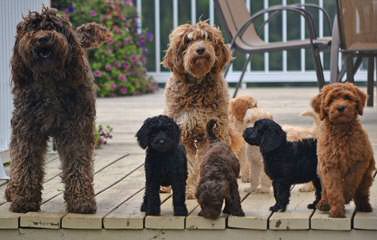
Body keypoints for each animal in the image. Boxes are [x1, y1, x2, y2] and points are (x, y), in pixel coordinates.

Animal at [4, 6, 110, 213]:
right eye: (32, 28)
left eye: (54, 27)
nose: (42, 38)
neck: (49, 79)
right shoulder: (26, 131)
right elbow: (25, 163)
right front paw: (24, 200)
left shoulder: (76, 129)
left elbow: (77, 162)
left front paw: (81, 200)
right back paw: (12, 190)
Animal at [162, 21, 231, 199]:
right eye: (188, 40)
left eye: (207, 38)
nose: (200, 49)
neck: (198, 84)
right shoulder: (183, 131)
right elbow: (189, 163)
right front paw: (188, 190)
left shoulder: (214, 130)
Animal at [312, 82, 374, 218]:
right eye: (331, 100)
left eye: (347, 97)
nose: (341, 107)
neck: (341, 128)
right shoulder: (329, 164)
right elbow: (333, 187)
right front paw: (337, 211)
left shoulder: (360, 161)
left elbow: (351, 179)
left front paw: (345, 195)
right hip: (320, 171)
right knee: (325, 190)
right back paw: (324, 203)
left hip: (367, 176)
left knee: (362, 191)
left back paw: (364, 206)